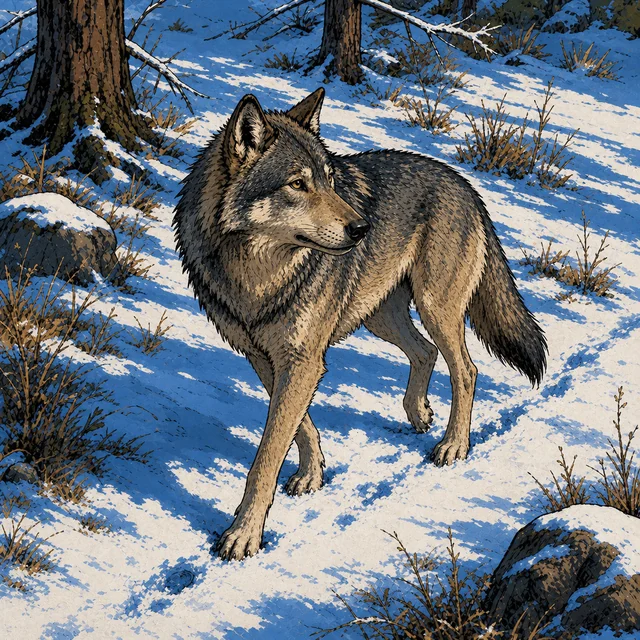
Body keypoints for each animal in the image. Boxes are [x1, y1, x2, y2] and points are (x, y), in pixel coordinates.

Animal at [173, 88, 547, 561]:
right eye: (298, 184)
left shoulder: (302, 361)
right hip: (380, 317)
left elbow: (266, 458)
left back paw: (453, 445)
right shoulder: (266, 358)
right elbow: (300, 427)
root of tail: (463, 183)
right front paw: (312, 474)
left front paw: (243, 535)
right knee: (425, 352)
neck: (255, 277)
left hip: (434, 309)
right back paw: (419, 414)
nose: (361, 228)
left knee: (466, 369)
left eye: (330, 181)